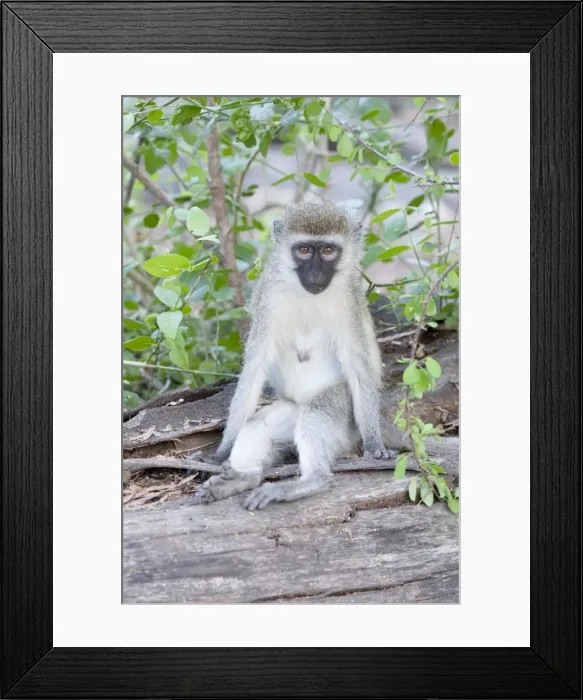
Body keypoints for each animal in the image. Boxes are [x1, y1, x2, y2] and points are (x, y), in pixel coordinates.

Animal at [191, 201, 396, 511]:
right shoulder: (268, 296)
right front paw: (220, 454)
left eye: (328, 250)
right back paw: (242, 479)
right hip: (289, 411)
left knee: (318, 410)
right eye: (304, 250)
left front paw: (374, 445)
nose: (315, 274)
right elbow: (254, 368)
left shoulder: (349, 301)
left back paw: (310, 482)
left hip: (346, 425)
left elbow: (358, 368)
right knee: (259, 423)